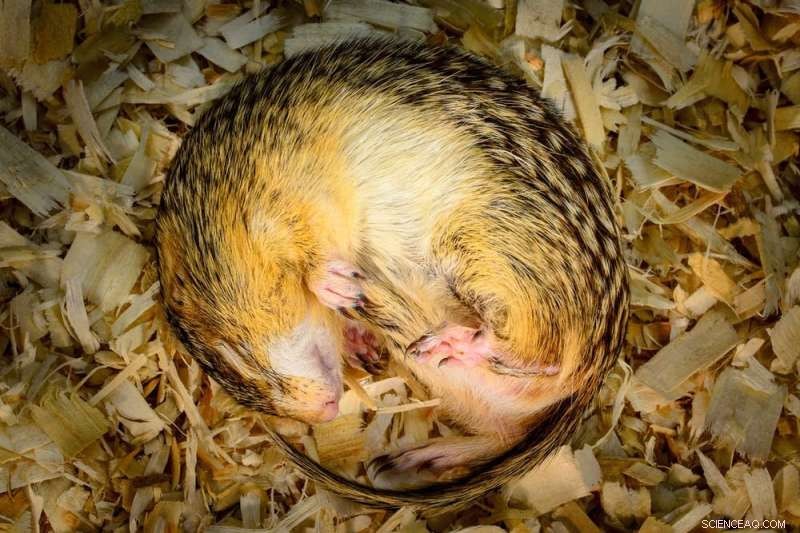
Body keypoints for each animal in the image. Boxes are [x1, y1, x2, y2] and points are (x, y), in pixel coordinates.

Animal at [155, 37, 629, 511]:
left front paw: (336, 287)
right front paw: (356, 335)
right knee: (509, 426)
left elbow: (315, 257)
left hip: (487, 259)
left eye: (227, 355)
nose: (326, 413)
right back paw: (415, 456)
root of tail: (597, 372)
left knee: (543, 355)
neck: (223, 203)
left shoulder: (294, 200)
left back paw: (453, 341)